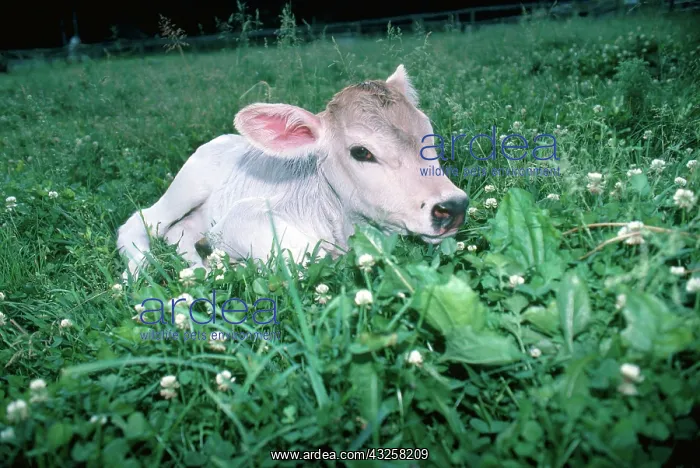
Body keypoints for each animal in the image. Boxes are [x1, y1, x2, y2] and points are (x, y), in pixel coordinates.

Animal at [116, 64, 469, 279]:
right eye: (361, 152)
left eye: (429, 136)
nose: (452, 207)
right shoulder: (241, 218)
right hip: (188, 183)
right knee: (140, 222)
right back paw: (142, 268)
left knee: (177, 231)